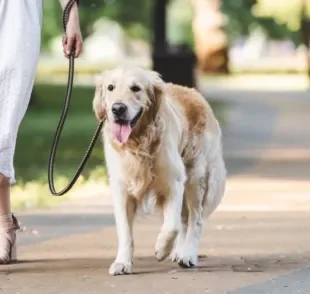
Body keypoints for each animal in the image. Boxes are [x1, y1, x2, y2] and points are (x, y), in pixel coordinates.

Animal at [92, 65, 225, 276]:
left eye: (136, 88)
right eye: (110, 87)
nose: (117, 108)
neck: (138, 144)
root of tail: (195, 93)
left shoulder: (174, 182)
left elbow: (172, 226)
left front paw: (162, 248)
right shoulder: (121, 189)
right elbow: (125, 231)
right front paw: (122, 262)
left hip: (195, 177)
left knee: (194, 219)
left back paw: (188, 254)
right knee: (185, 219)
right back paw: (179, 252)